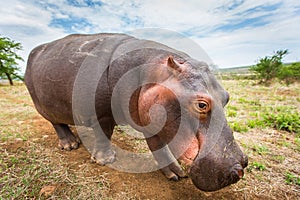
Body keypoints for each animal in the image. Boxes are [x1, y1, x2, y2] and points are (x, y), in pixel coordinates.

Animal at [24, 33, 247, 192]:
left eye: (226, 97)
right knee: (57, 124)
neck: (149, 72)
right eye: (202, 105)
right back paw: (70, 145)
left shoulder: (151, 117)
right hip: (42, 105)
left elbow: (159, 146)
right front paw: (105, 160)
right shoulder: (102, 115)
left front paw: (176, 174)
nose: (240, 167)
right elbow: (104, 134)